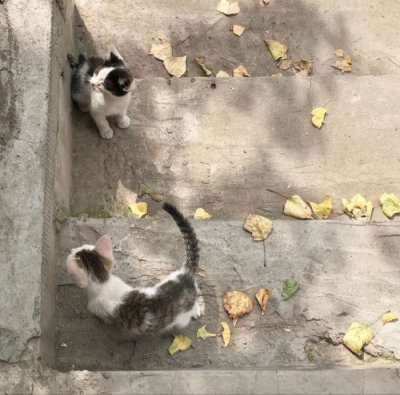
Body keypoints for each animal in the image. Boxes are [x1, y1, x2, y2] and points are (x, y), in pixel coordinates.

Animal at [67, 204, 202, 334]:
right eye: (80, 247)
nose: (71, 250)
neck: (103, 282)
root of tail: (186, 275)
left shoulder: (99, 309)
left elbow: (105, 319)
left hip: (181, 320)